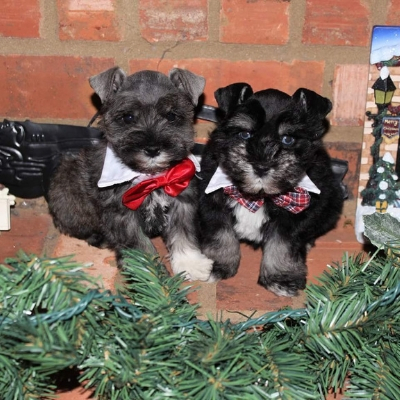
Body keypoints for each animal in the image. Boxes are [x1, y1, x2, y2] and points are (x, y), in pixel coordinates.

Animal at [47, 66, 212, 282]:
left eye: (171, 116)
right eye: (128, 117)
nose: (152, 149)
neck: (151, 176)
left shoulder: (181, 199)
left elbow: (183, 234)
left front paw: (190, 263)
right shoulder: (122, 214)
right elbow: (140, 246)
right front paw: (148, 276)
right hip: (68, 198)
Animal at [199, 83, 344, 296]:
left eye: (287, 139)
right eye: (245, 134)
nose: (261, 167)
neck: (259, 196)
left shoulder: (293, 219)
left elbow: (282, 245)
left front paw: (281, 278)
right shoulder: (212, 203)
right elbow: (220, 236)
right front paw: (215, 265)